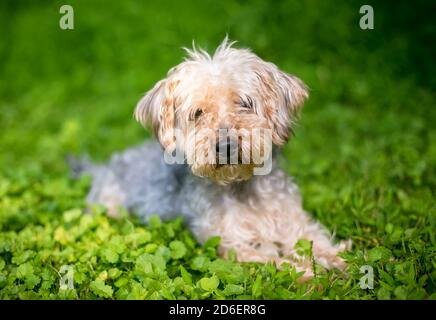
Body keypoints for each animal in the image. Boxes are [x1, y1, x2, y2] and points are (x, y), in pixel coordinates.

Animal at [72, 37, 350, 278]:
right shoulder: (233, 245)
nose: (225, 146)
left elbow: (315, 241)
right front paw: (308, 273)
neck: (241, 186)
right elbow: (274, 260)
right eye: (198, 113)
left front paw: (340, 261)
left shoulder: (295, 222)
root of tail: (102, 167)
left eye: (245, 103)